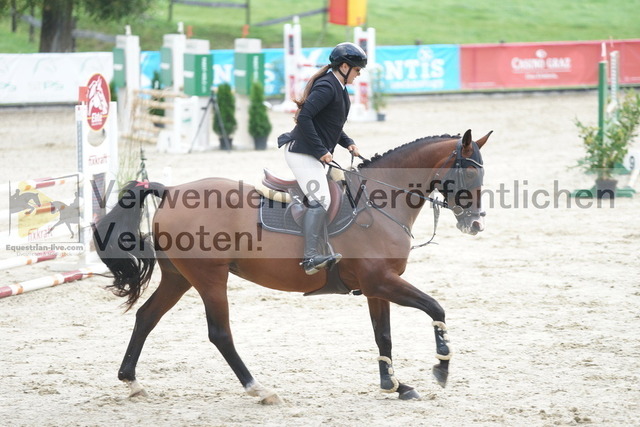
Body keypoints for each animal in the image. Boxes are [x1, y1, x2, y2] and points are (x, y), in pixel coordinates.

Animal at [92, 129, 490, 402]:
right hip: (209, 278)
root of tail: (172, 191)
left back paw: (131, 380)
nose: (475, 225)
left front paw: (394, 384)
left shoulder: (377, 286)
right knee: (219, 333)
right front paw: (441, 366)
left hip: (179, 277)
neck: (380, 201)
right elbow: (435, 308)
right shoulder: (382, 281)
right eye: (470, 176)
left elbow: (384, 335)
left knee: (146, 317)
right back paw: (259, 389)